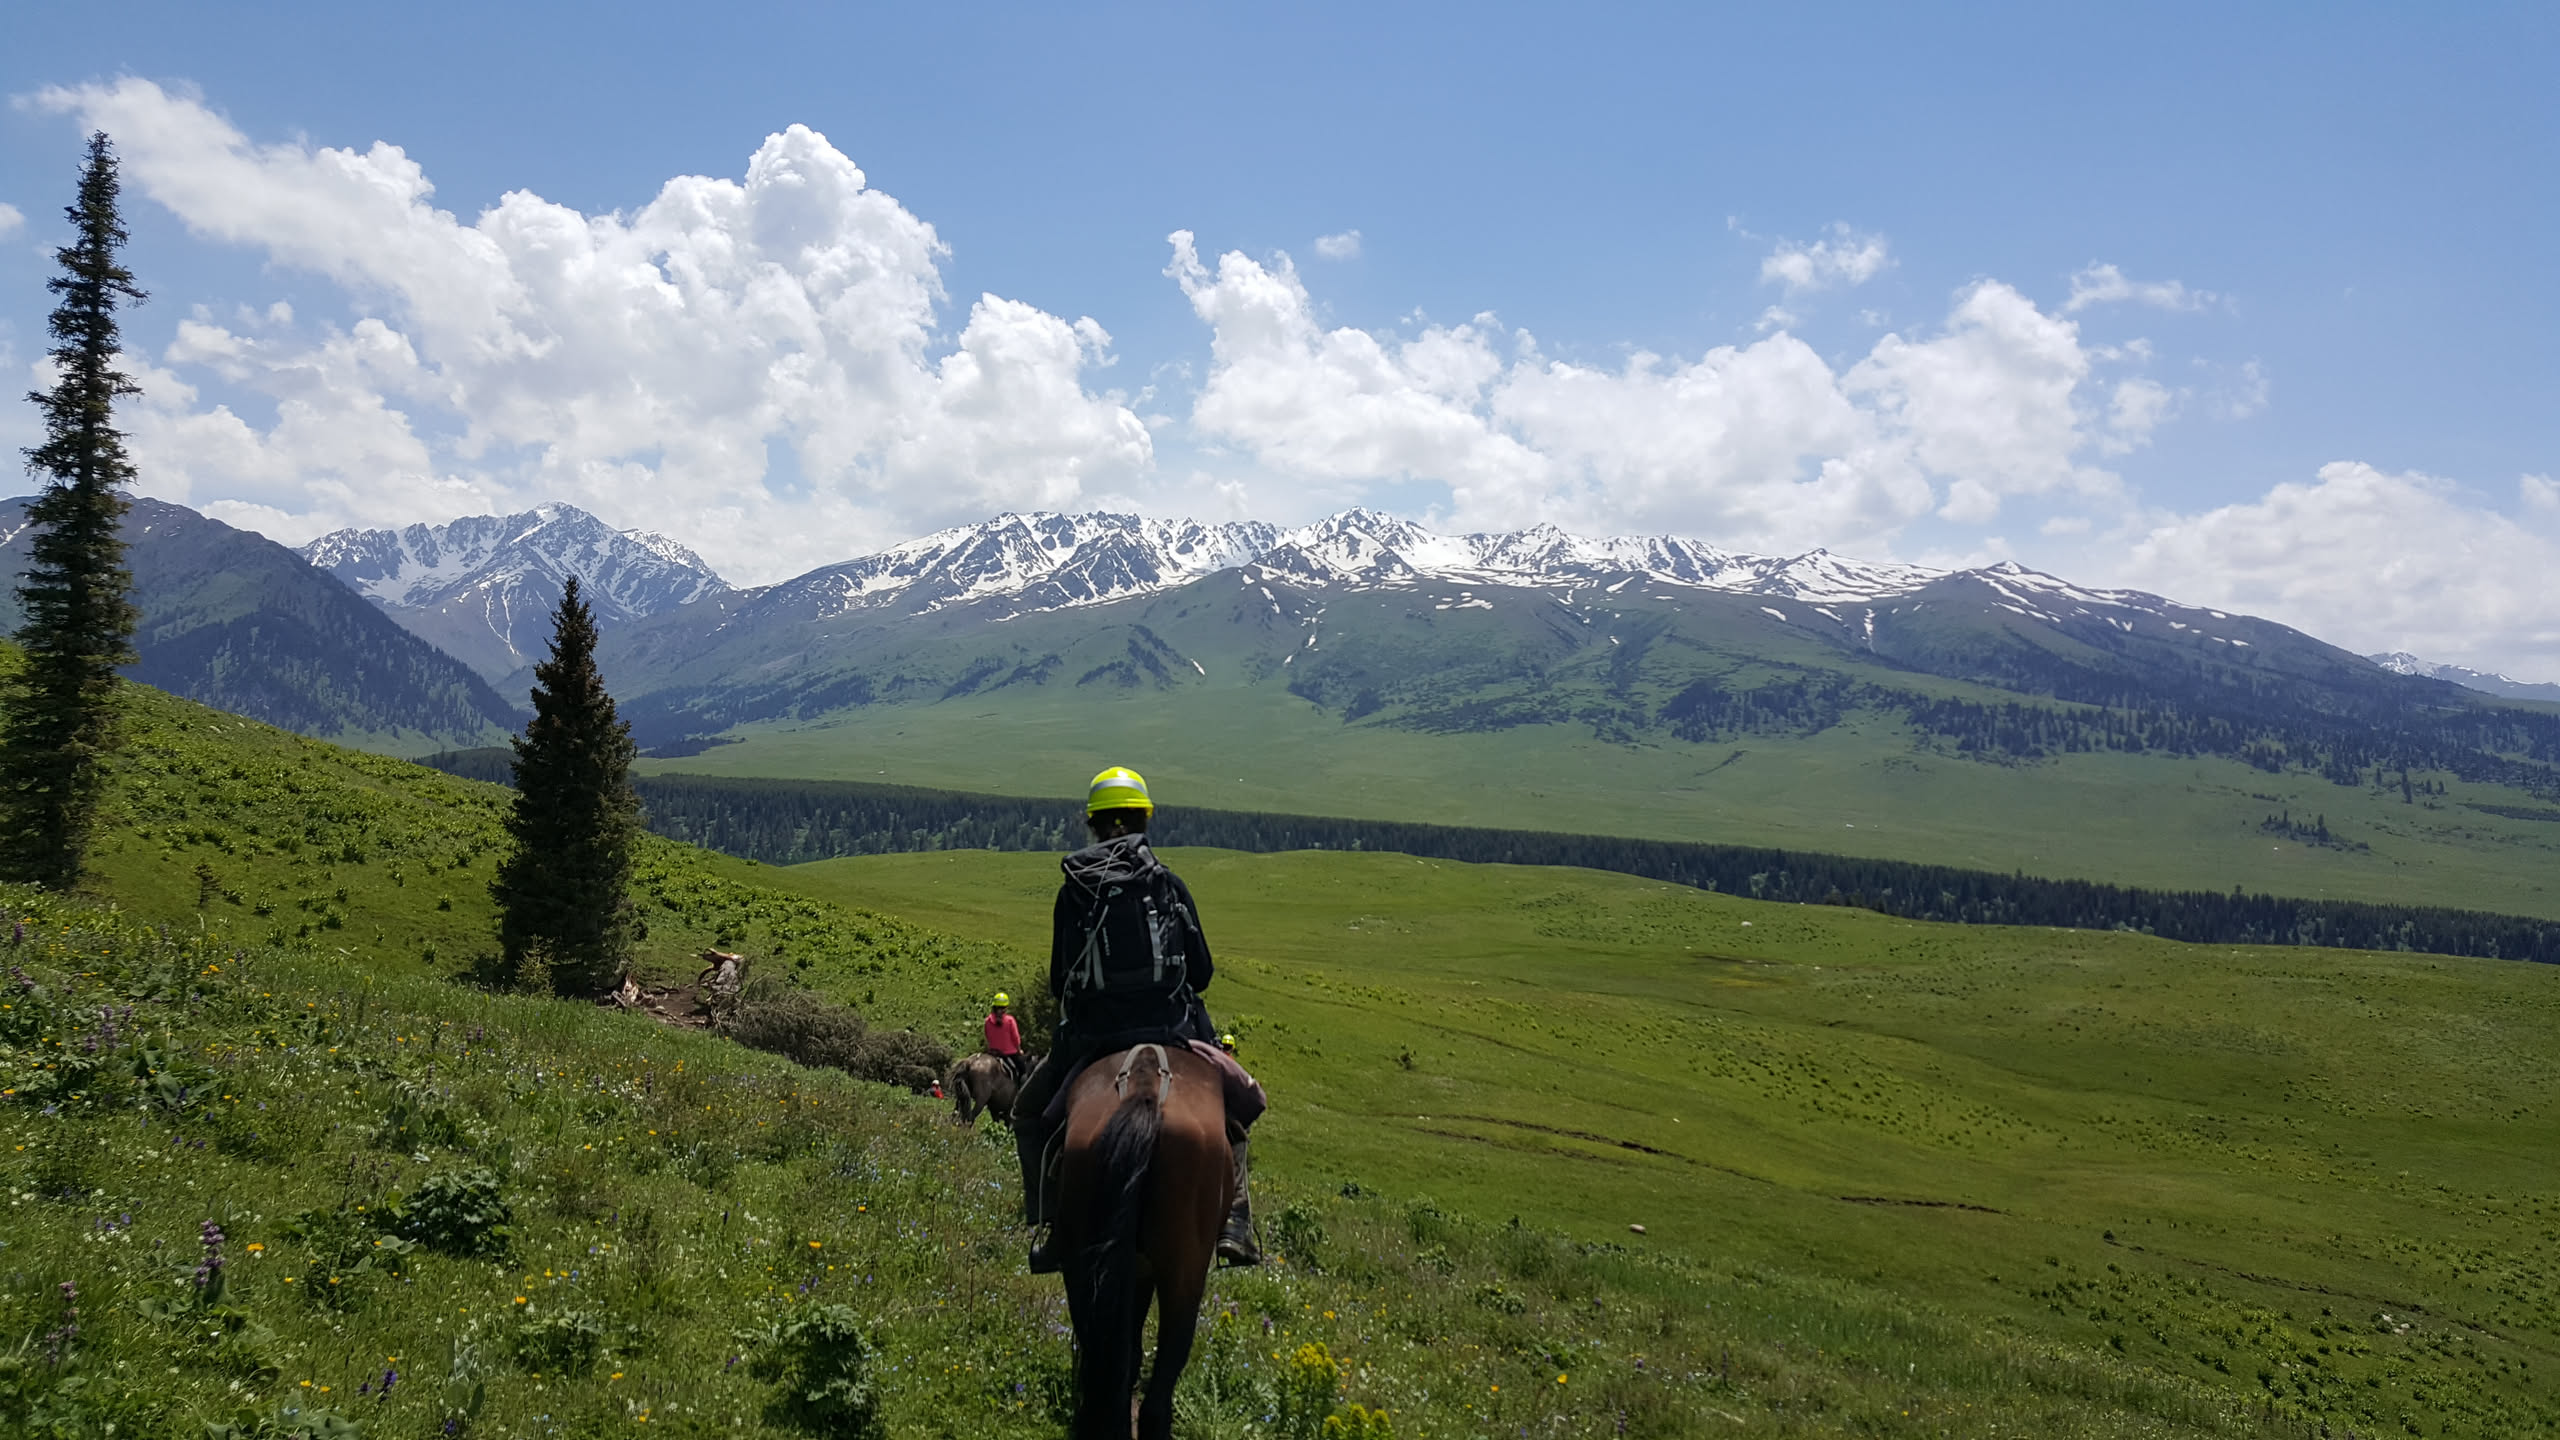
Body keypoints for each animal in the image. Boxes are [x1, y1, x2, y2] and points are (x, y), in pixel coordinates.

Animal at [1053, 1042, 1232, 1439]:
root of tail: (1144, 1089)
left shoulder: (1134, 1266)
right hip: (1185, 1270)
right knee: (1168, 1361)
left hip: (1083, 1256)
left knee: (1100, 1343)